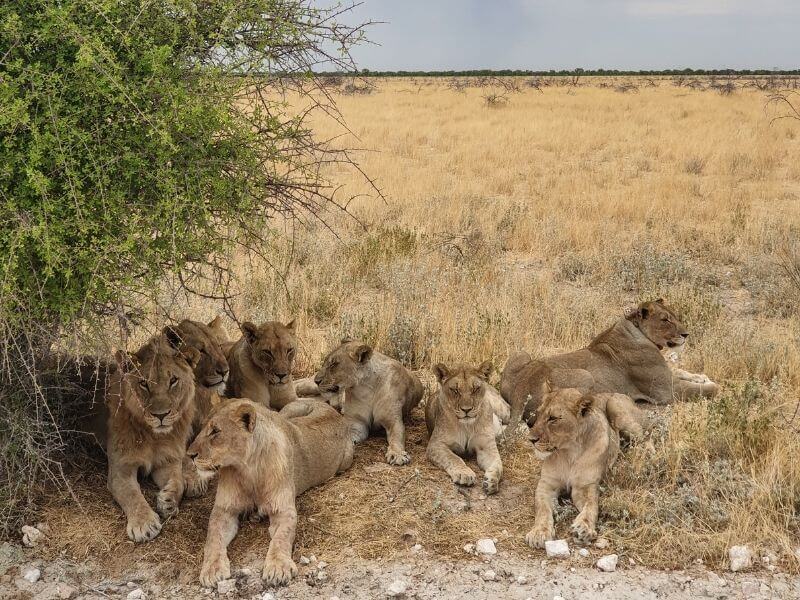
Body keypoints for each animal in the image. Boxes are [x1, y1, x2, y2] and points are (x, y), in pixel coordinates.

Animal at [103, 330, 198, 540]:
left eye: (173, 381)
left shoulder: (167, 460)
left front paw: (168, 501)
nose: (160, 415)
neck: (154, 437)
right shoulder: (121, 467)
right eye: (143, 383)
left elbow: (178, 481)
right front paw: (143, 524)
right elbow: (131, 494)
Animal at [189, 396, 354, 588]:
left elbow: (281, 538)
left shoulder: (283, 510)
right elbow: (213, 538)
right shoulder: (223, 510)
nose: (189, 455)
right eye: (202, 428)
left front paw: (277, 567)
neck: (248, 470)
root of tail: (332, 410)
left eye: (215, 431)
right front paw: (212, 570)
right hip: (285, 412)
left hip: (346, 460)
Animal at [428, 360, 504, 492]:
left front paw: (492, 482)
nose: (466, 410)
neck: (467, 426)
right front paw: (464, 474)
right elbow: (453, 458)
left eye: (475, 389)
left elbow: (498, 464)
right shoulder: (435, 444)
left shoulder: (486, 446)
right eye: (455, 390)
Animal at [500, 300, 720, 426]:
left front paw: (702, 377)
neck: (637, 330)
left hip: (521, 353)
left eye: (674, 316)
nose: (686, 334)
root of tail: (521, 389)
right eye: (665, 320)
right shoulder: (666, 390)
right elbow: (708, 390)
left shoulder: (667, 376)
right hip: (585, 375)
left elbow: (681, 371)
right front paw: (713, 385)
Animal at [520, 390, 648, 548]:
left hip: (616, 407)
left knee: (645, 437)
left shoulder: (585, 486)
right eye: (538, 414)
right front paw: (539, 532)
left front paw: (584, 528)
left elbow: (591, 507)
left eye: (553, 418)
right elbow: (542, 509)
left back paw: (644, 456)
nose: (531, 439)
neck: (569, 453)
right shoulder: (546, 484)